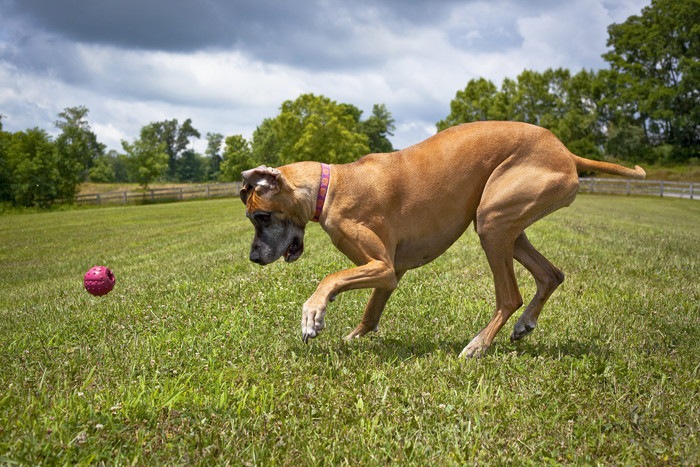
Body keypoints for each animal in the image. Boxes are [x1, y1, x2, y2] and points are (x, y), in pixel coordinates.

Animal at [241, 121, 644, 358]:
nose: (254, 258)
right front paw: (354, 337)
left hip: (493, 222)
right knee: (550, 274)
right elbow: (371, 312)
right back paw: (524, 324)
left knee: (509, 296)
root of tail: (564, 150)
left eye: (261, 217)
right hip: (507, 225)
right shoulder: (391, 273)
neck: (331, 185)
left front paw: (314, 314)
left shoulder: (381, 266)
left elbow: (330, 278)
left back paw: (479, 344)